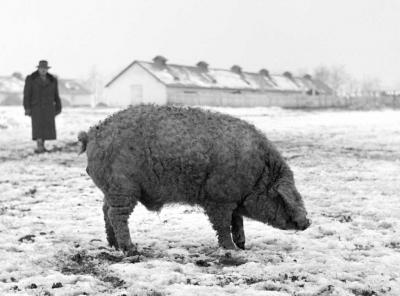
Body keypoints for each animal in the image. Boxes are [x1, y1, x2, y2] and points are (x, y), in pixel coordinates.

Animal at [77, 104, 310, 254]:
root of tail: (91, 134)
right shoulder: (218, 198)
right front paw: (232, 250)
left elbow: (238, 221)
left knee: (106, 211)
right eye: (282, 196)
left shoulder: (232, 200)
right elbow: (223, 225)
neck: (258, 174)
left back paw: (113, 246)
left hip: (111, 189)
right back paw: (131, 250)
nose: (307, 222)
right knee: (117, 215)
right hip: (122, 187)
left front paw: (243, 245)